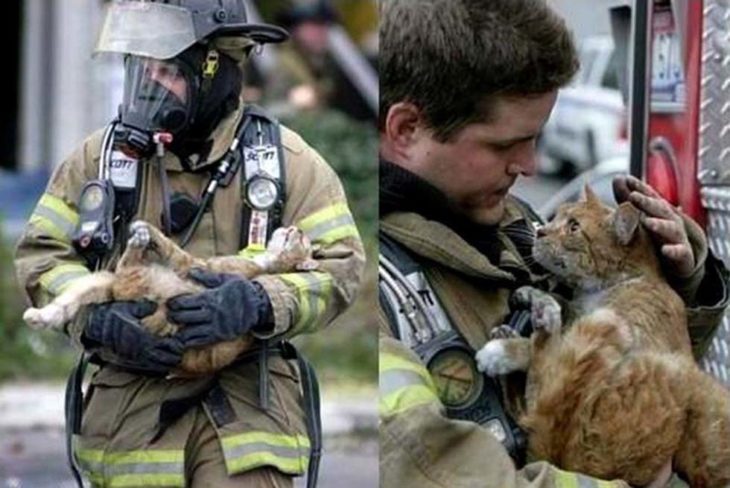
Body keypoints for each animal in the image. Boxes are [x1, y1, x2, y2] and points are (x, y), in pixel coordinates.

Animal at [22, 221, 312, 378]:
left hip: (136, 275)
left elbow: (171, 246)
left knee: (129, 260)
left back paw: (139, 239)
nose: (297, 228)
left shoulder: (192, 263)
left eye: (301, 239)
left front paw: (149, 231)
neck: (267, 265)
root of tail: (117, 288)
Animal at [474, 187, 724, 488]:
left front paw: (510, 348)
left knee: (546, 403)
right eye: (556, 216)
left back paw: (511, 341)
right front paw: (532, 295)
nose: (540, 231)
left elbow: (556, 355)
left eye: (573, 227)